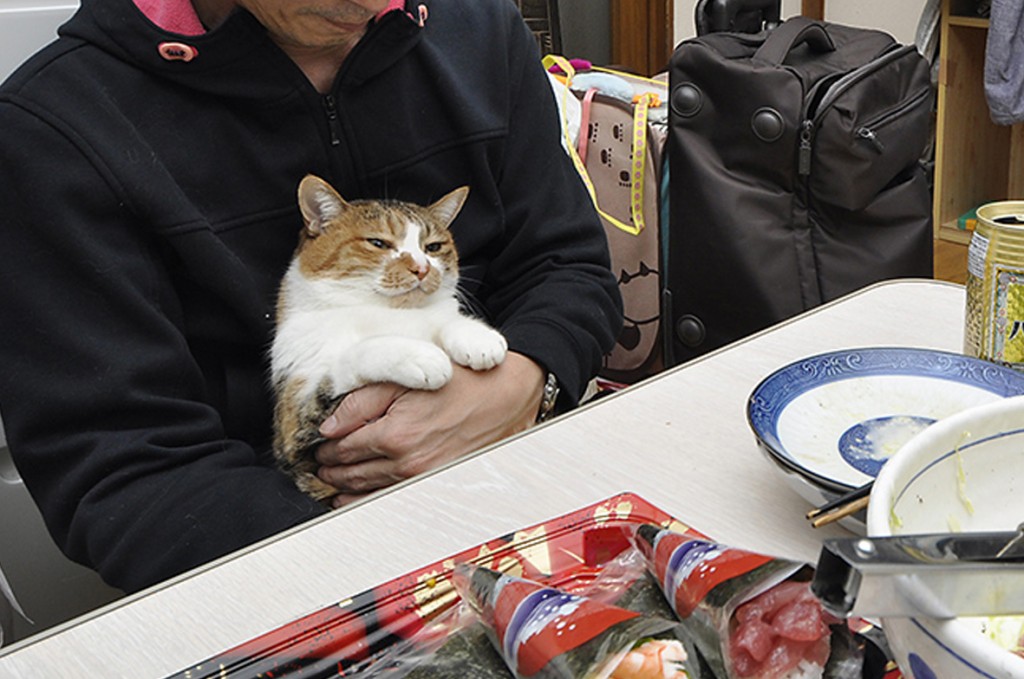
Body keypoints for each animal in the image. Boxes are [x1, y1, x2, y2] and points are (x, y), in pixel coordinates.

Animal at [270, 175, 505, 501]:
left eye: (433, 247)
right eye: (378, 243)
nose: (422, 268)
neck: (390, 311)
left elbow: (444, 319)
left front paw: (477, 338)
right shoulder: (299, 419)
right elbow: (355, 354)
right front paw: (422, 357)